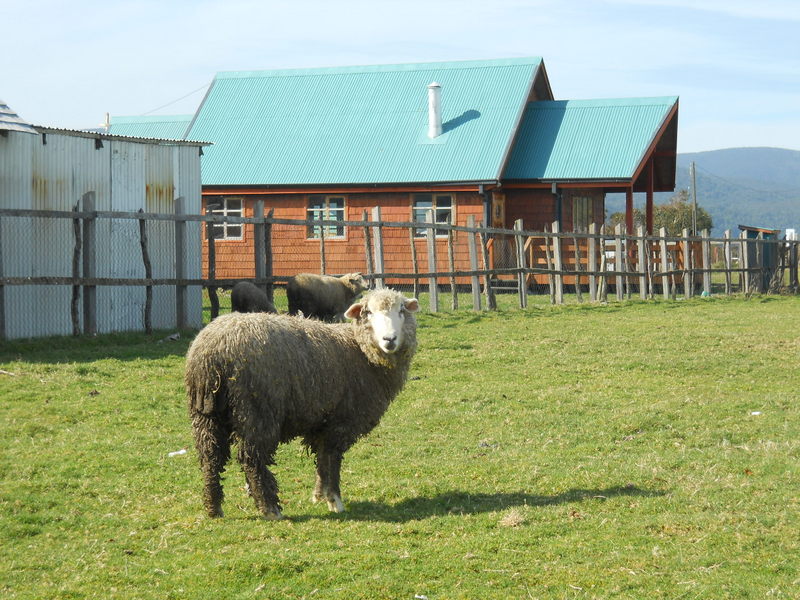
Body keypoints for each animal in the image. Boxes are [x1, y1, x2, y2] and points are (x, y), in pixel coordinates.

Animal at [183, 288, 418, 516]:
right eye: (368, 312)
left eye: (401, 310)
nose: (389, 339)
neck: (359, 350)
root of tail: (212, 353)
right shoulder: (341, 420)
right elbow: (332, 459)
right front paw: (334, 500)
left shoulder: (321, 422)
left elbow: (322, 460)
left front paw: (319, 495)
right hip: (257, 411)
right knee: (251, 458)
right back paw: (270, 508)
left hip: (206, 413)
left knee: (210, 456)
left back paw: (214, 507)